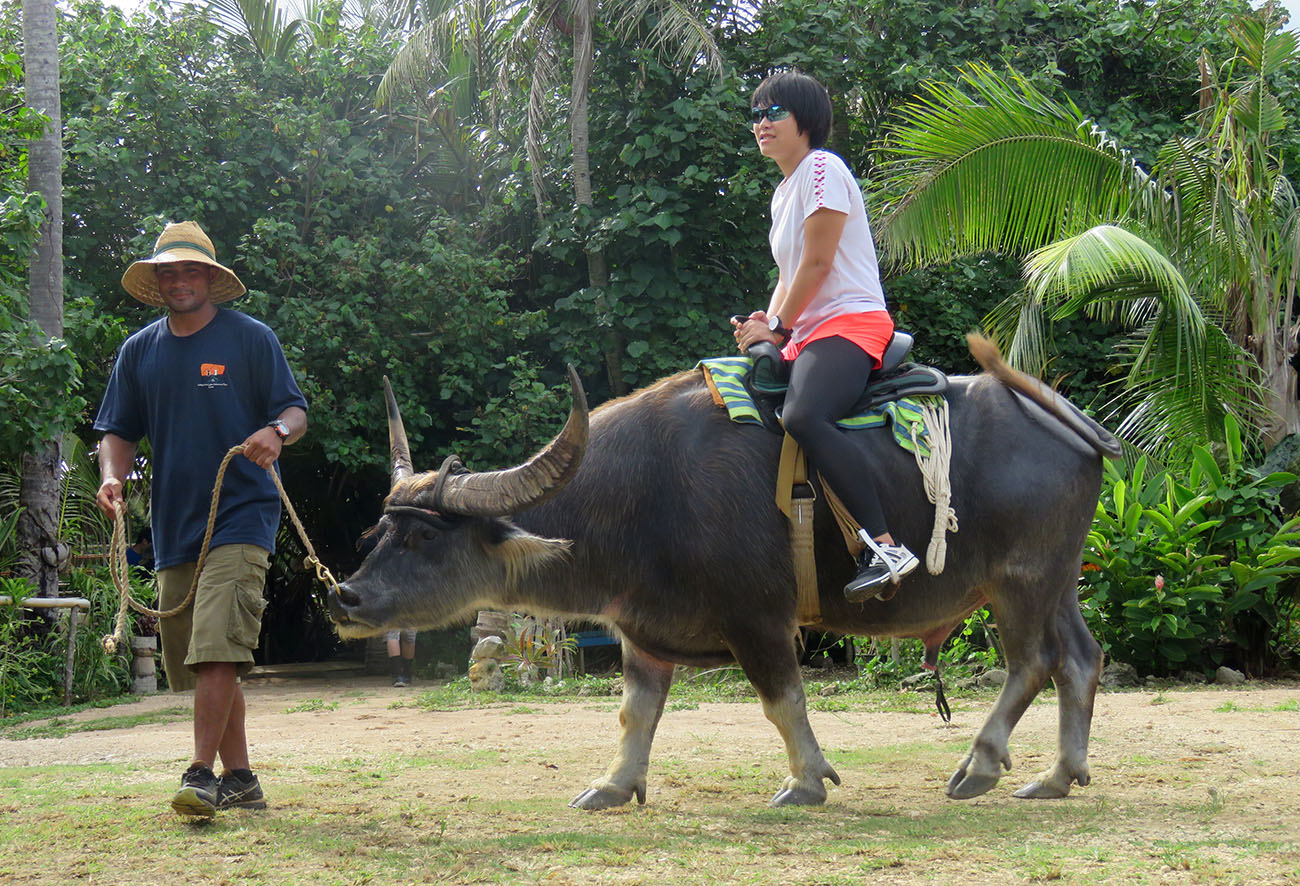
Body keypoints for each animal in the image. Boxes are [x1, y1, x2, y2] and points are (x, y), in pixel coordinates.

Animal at [330, 335, 1123, 805]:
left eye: (422, 539)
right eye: (381, 530)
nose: (345, 598)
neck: (642, 494)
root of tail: (1064, 416)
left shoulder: (758, 617)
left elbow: (782, 701)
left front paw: (807, 781)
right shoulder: (640, 629)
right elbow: (636, 711)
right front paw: (613, 785)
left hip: (1019, 581)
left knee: (1033, 662)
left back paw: (982, 765)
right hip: (1058, 580)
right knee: (1081, 658)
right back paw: (1058, 775)